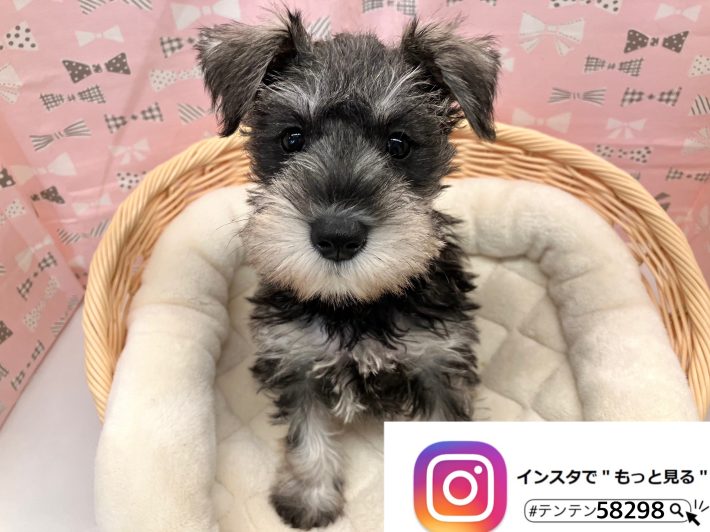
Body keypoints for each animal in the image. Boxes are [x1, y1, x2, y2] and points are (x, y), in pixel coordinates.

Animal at [197, 11, 499, 529]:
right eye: (292, 138)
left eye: (399, 144)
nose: (337, 235)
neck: (356, 304)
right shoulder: (294, 360)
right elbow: (305, 434)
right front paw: (309, 497)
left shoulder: (439, 363)